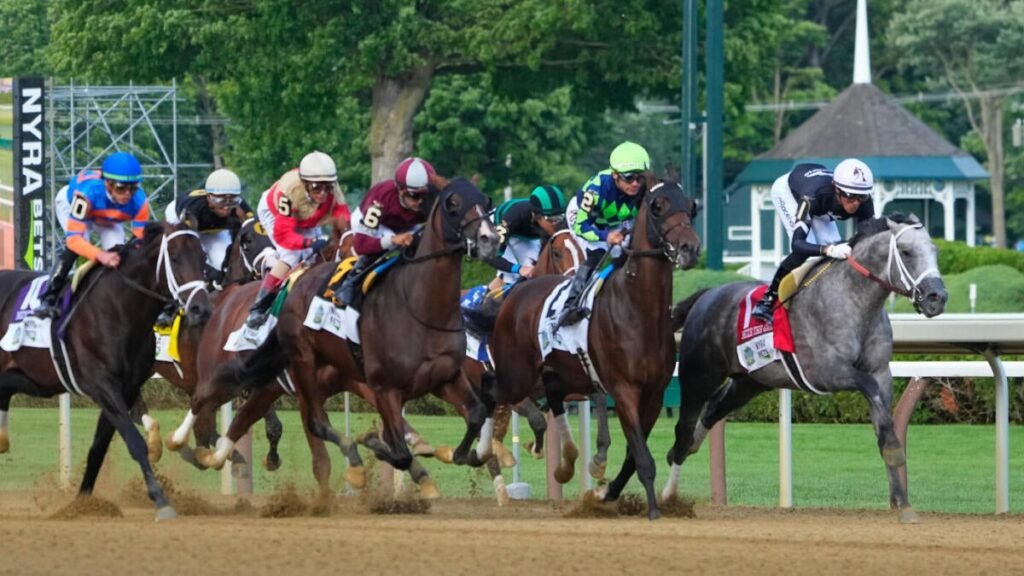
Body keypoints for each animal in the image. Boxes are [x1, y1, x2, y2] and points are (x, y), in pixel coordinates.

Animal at [0, 222, 212, 520]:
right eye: (175, 257)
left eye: (203, 257)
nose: (200, 309)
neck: (118, 308)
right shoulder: (102, 384)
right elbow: (135, 442)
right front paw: (161, 500)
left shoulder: (125, 389)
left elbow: (98, 448)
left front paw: (82, 504)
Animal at [198, 176, 501, 484]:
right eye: (453, 203)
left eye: (485, 200)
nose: (490, 238)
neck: (420, 308)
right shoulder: (376, 387)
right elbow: (388, 451)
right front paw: (372, 447)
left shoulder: (439, 377)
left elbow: (475, 415)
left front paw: (456, 453)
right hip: (286, 366)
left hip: (272, 385)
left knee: (242, 419)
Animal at [489, 179, 701, 519]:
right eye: (658, 206)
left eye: (691, 206)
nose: (689, 248)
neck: (639, 309)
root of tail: (518, 292)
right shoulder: (624, 390)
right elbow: (642, 456)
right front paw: (653, 510)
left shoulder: (654, 394)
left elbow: (633, 454)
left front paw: (605, 492)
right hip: (517, 373)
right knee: (496, 400)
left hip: (557, 374)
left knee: (551, 401)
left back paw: (562, 464)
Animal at [661, 213, 947, 523]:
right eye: (906, 251)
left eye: (935, 250)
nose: (937, 297)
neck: (854, 301)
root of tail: (706, 295)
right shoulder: (827, 372)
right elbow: (868, 390)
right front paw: (896, 454)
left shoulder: (882, 372)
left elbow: (883, 425)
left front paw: (904, 503)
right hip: (698, 376)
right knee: (684, 428)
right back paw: (667, 496)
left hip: (750, 381)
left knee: (712, 411)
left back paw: (686, 453)